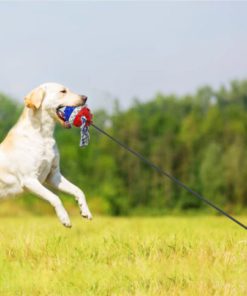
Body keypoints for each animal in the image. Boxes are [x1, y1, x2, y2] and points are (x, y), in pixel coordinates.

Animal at [0, 82, 92, 228]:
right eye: (63, 91)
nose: (85, 97)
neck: (44, 136)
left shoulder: (54, 176)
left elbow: (78, 190)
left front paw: (85, 211)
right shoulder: (30, 180)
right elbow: (55, 197)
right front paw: (65, 218)